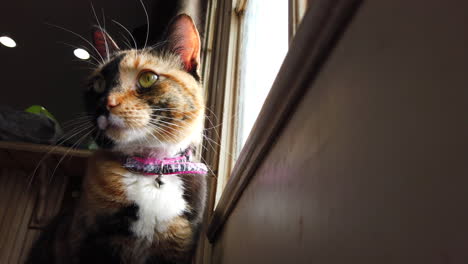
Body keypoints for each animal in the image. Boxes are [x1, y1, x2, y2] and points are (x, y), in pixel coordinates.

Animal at [27, 13, 207, 262]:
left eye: (148, 78)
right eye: (98, 83)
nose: (105, 104)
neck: (150, 169)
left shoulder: (178, 244)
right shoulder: (93, 240)